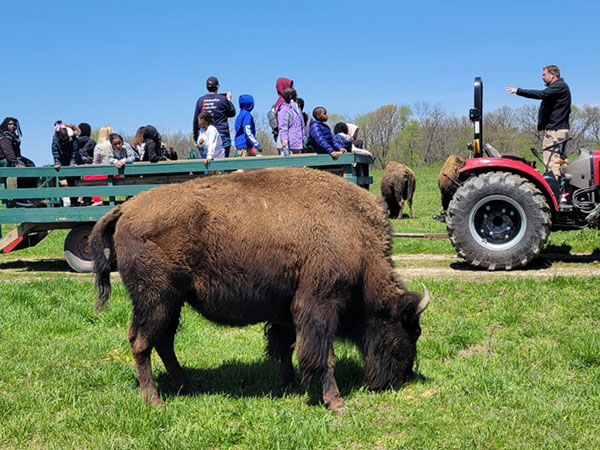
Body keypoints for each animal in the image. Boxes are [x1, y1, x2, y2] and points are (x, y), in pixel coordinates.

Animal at [89, 166, 428, 412]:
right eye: (409, 330)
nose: (402, 379)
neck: (355, 236)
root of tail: (126, 208)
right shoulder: (320, 305)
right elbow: (322, 356)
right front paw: (336, 402)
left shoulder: (287, 310)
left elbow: (286, 346)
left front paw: (289, 385)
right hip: (155, 298)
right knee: (141, 342)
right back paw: (155, 400)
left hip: (172, 302)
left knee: (163, 341)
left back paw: (189, 388)